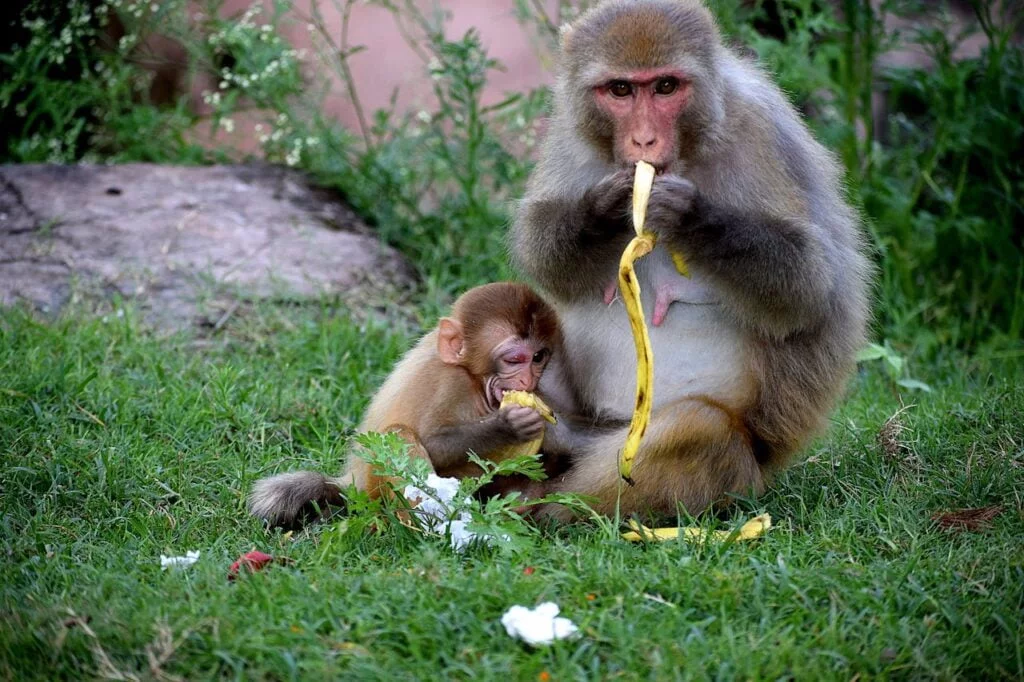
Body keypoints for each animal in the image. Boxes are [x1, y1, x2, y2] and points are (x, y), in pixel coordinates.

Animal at [250, 280, 565, 524]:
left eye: (538, 357)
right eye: (514, 360)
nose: (527, 380)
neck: (474, 380)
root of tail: (354, 484)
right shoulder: (449, 383)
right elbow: (433, 443)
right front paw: (507, 425)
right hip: (376, 485)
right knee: (398, 434)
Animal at [512, 0, 872, 518]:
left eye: (666, 86)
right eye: (620, 89)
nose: (644, 141)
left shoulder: (757, 130)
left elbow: (809, 285)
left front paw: (689, 215)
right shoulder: (570, 127)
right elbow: (541, 248)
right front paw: (604, 210)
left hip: (729, 469)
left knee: (696, 428)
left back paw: (550, 508)